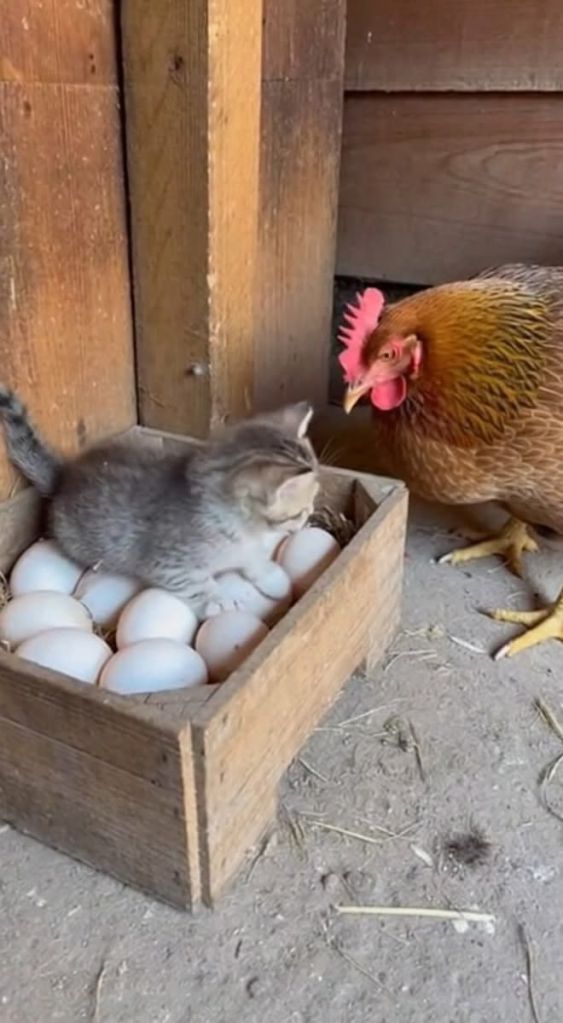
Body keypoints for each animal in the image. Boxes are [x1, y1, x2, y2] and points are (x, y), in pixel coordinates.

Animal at [0, 388, 319, 616]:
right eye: (300, 511)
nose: (312, 512)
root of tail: (64, 476)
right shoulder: (167, 563)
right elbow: (196, 585)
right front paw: (219, 601)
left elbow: (253, 560)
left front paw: (269, 575)